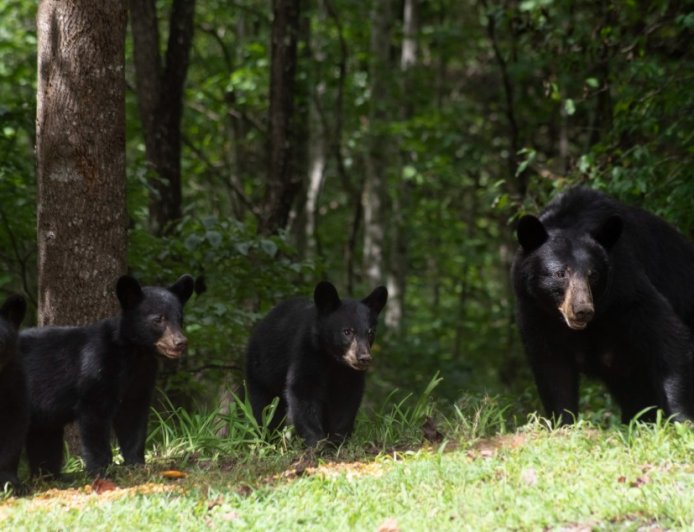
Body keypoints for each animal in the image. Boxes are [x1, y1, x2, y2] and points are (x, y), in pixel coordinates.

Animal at [19, 274, 194, 478]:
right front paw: (101, 470)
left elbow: (133, 418)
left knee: (44, 437)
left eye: (180, 318)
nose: (180, 342)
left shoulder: (141, 376)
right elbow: (95, 418)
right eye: (159, 319)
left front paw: (136, 464)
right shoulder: (97, 368)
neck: (134, 353)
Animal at [245, 281, 388, 447]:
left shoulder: (349, 374)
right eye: (347, 331)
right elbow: (302, 390)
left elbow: (347, 399)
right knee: (264, 407)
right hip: (261, 371)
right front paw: (317, 442)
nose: (364, 358)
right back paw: (267, 438)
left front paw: (338, 440)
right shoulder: (306, 352)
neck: (333, 360)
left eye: (371, 333)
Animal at [512, 187, 694, 424]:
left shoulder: (626, 289)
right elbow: (552, 367)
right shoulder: (534, 310)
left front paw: (682, 420)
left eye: (594, 275)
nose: (582, 311)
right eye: (560, 274)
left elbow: (668, 336)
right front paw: (564, 422)